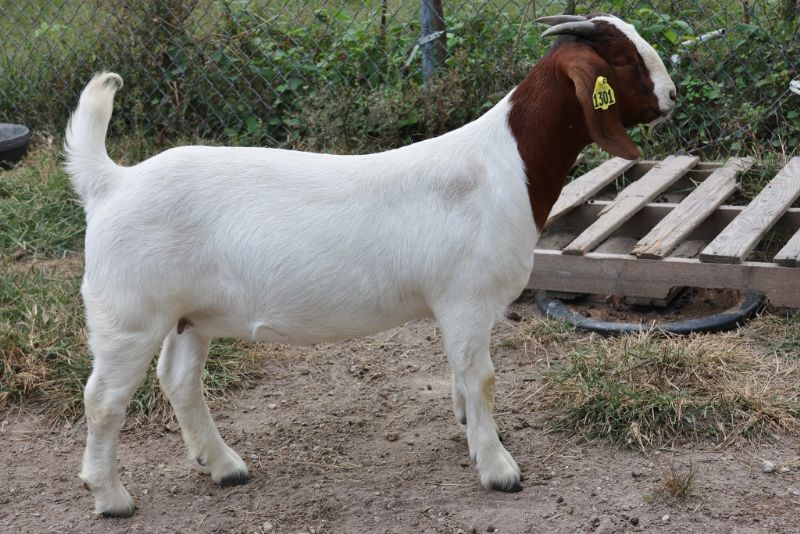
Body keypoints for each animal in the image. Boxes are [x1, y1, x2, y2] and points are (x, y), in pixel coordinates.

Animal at [65, 14, 672, 516]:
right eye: (624, 60)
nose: (669, 95)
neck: (505, 165)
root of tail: (111, 182)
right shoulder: (468, 298)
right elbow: (482, 378)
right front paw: (499, 469)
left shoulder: (454, 309)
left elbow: (461, 373)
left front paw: (467, 430)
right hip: (129, 314)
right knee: (104, 400)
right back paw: (111, 497)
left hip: (190, 314)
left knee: (179, 380)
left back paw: (224, 466)